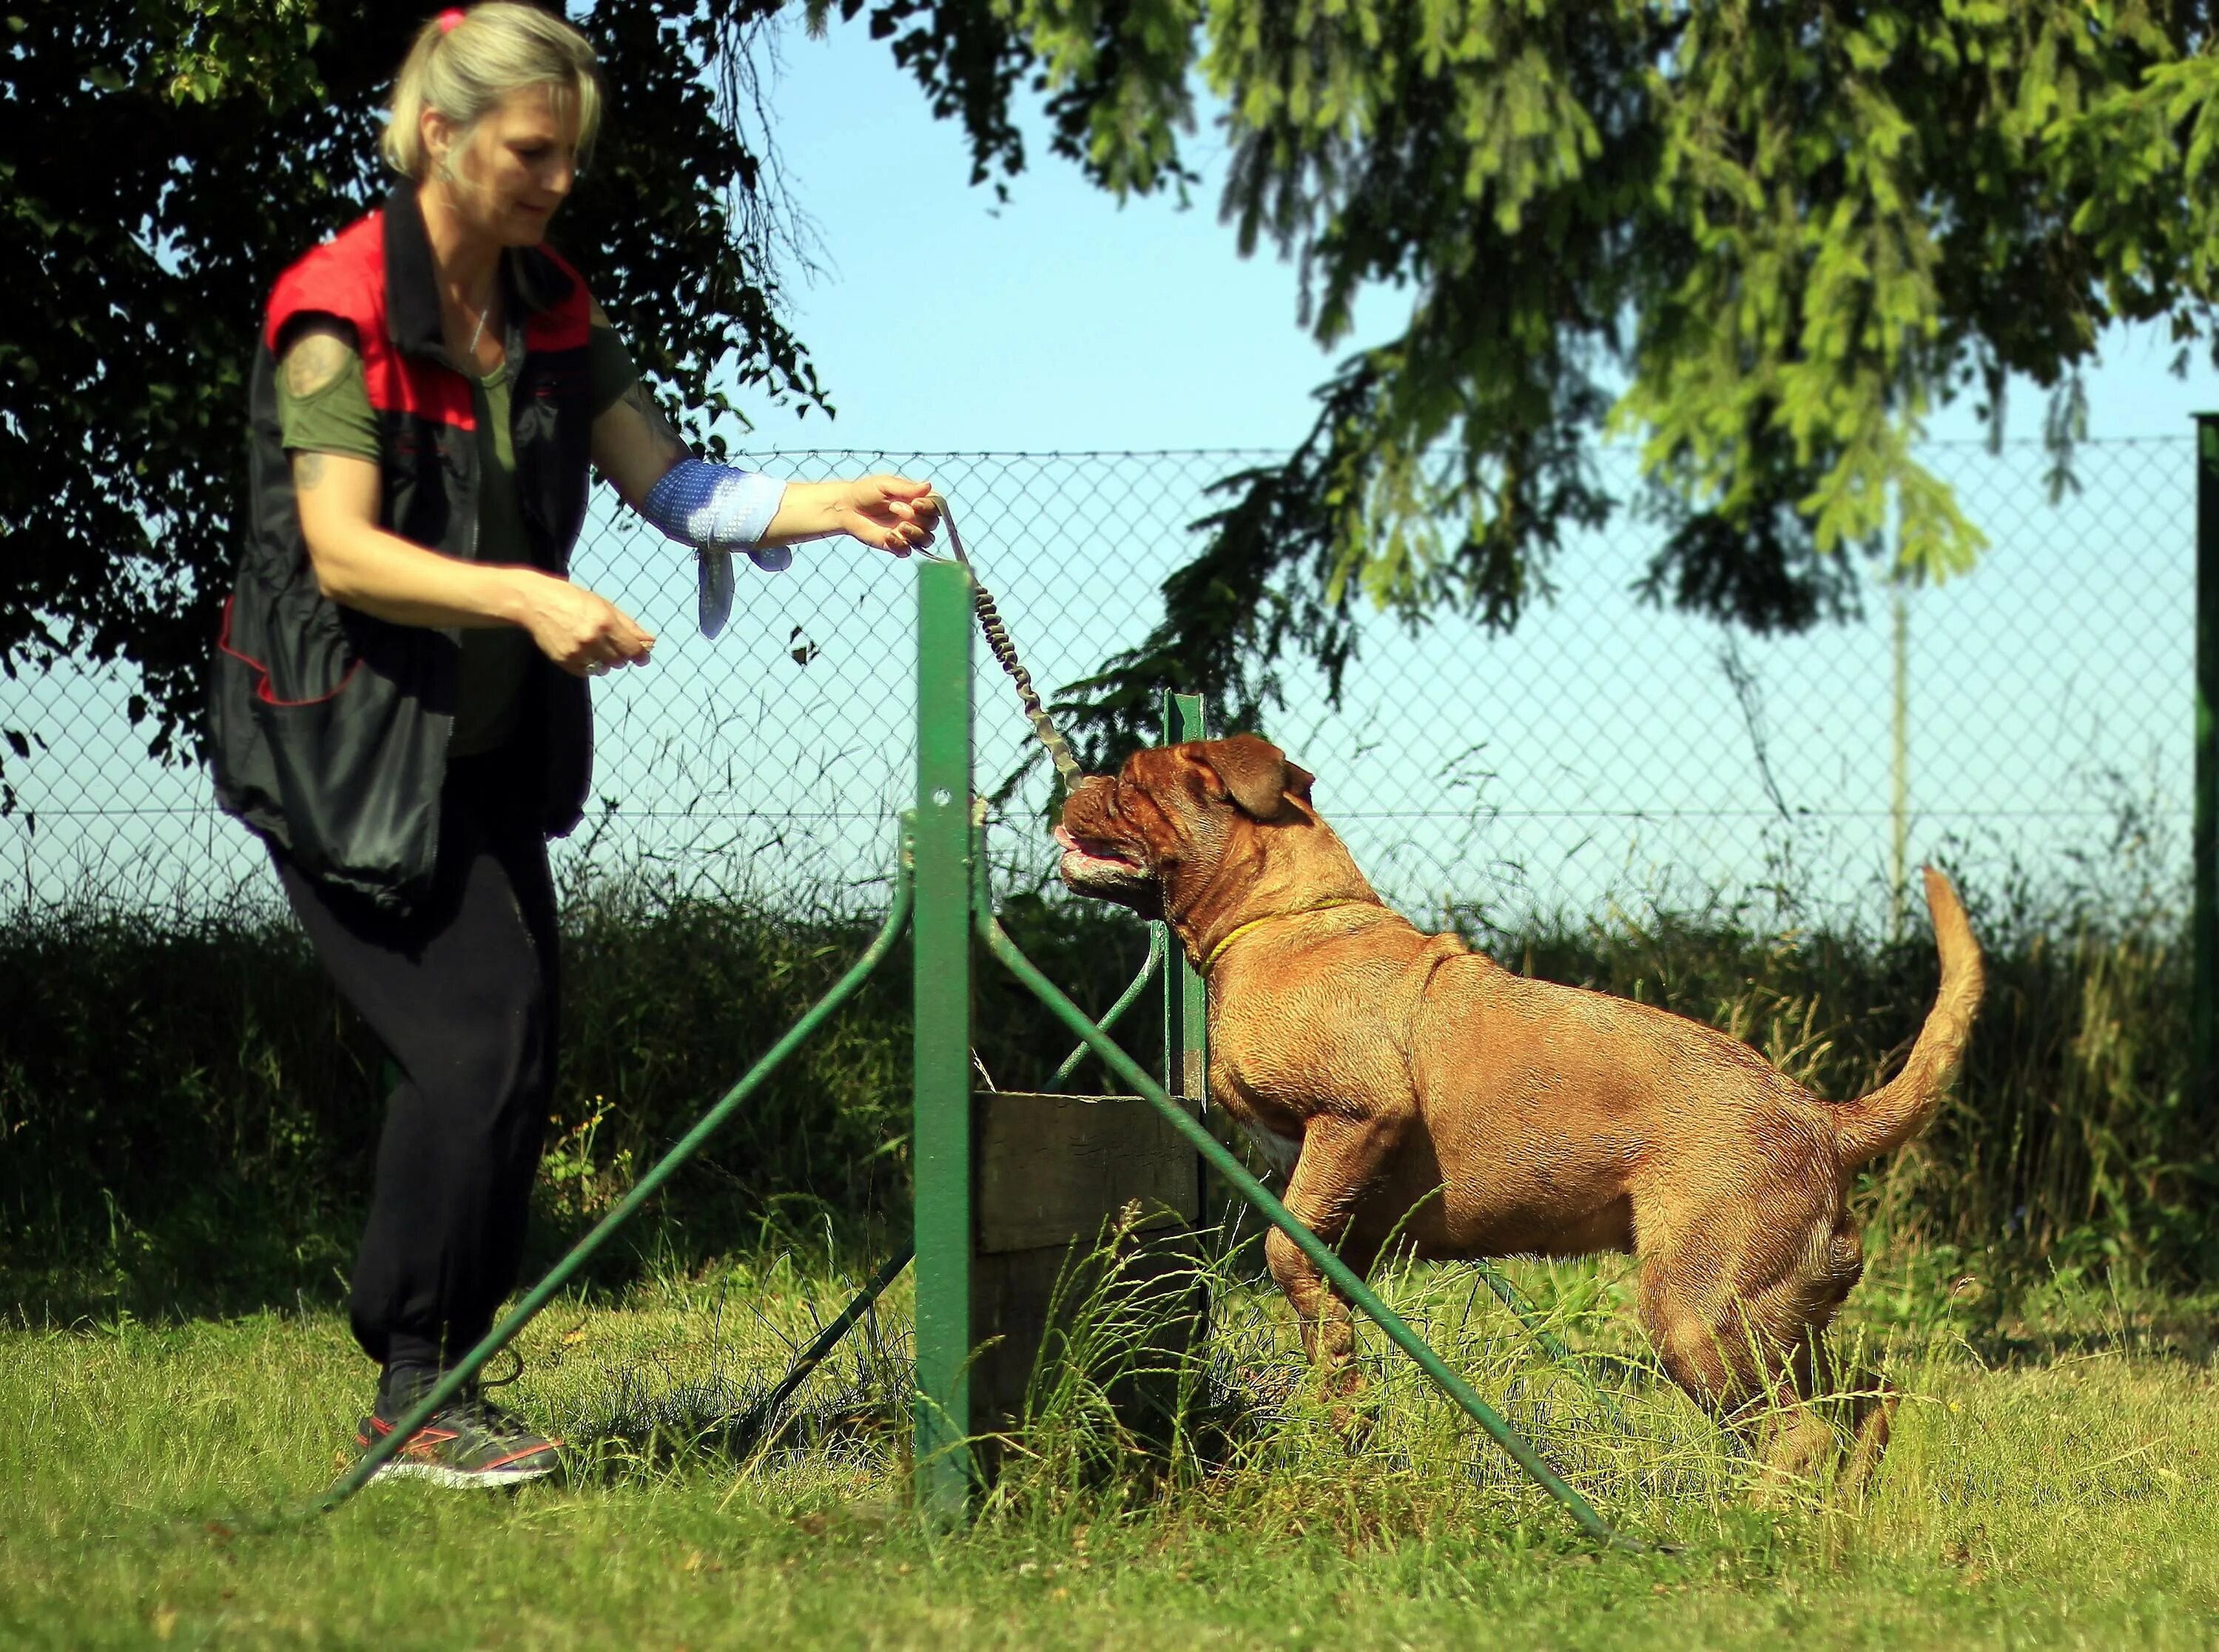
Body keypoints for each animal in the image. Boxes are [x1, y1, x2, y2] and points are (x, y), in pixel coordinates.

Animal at [1047, 732, 1988, 1481]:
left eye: (1129, 779)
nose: (1076, 781)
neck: (1285, 918)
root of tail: (1824, 1122)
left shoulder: (1356, 1118)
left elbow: (1286, 1250)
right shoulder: (1343, 1201)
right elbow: (1322, 1298)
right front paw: (1344, 1398)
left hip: (1699, 1317)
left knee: (1799, 1437)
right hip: (1780, 1318)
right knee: (1866, 1403)